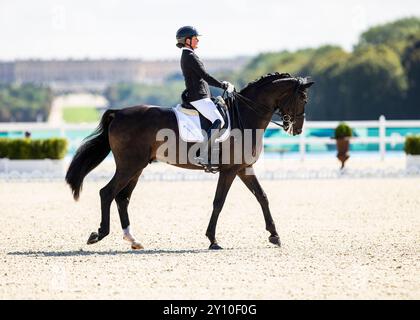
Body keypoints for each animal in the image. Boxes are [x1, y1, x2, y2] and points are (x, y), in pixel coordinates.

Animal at [65, 72, 314, 250]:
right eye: (303, 98)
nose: (298, 129)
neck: (245, 116)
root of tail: (119, 113)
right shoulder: (230, 170)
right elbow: (219, 202)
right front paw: (213, 240)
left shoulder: (244, 168)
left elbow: (262, 197)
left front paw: (275, 235)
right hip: (129, 166)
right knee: (107, 193)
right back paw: (99, 234)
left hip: (136, 168)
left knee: (122, 198)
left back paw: (133, 240)